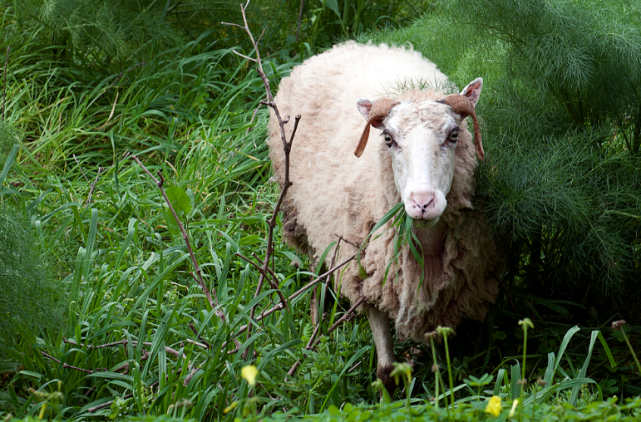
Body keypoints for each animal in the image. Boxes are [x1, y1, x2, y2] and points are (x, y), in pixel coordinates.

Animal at [264, 41, 500, 394]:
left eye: (454, 134)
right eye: (388, 138)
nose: (422, 202)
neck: (426, 249)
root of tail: (343, 46)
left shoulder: (444, 297)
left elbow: (436, 362)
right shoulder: (365, 279)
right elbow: (386, 370)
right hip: (298, 210)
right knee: (315, 265)